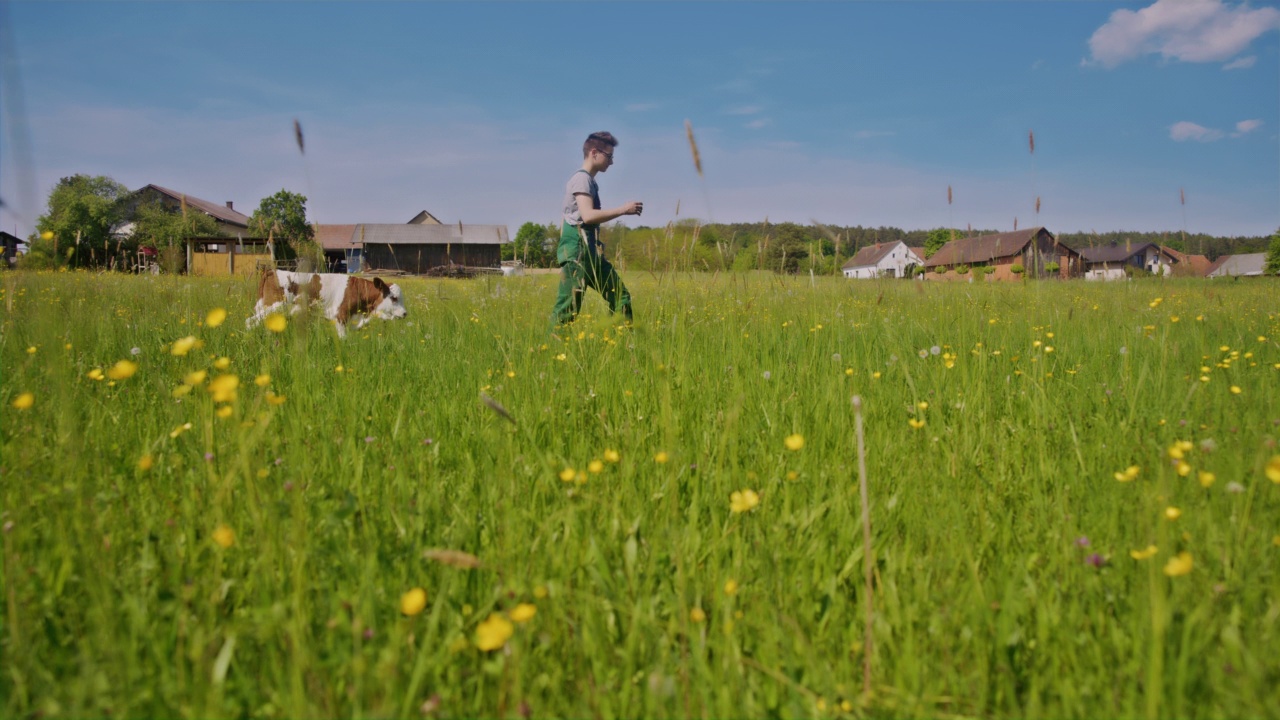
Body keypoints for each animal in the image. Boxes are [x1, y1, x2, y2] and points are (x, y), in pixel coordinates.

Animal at [247, 269, 407, 335]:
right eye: (394, 298)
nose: (405, 313)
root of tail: (271, 271)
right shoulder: (341, 317)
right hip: (273, 306)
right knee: (249, 322)